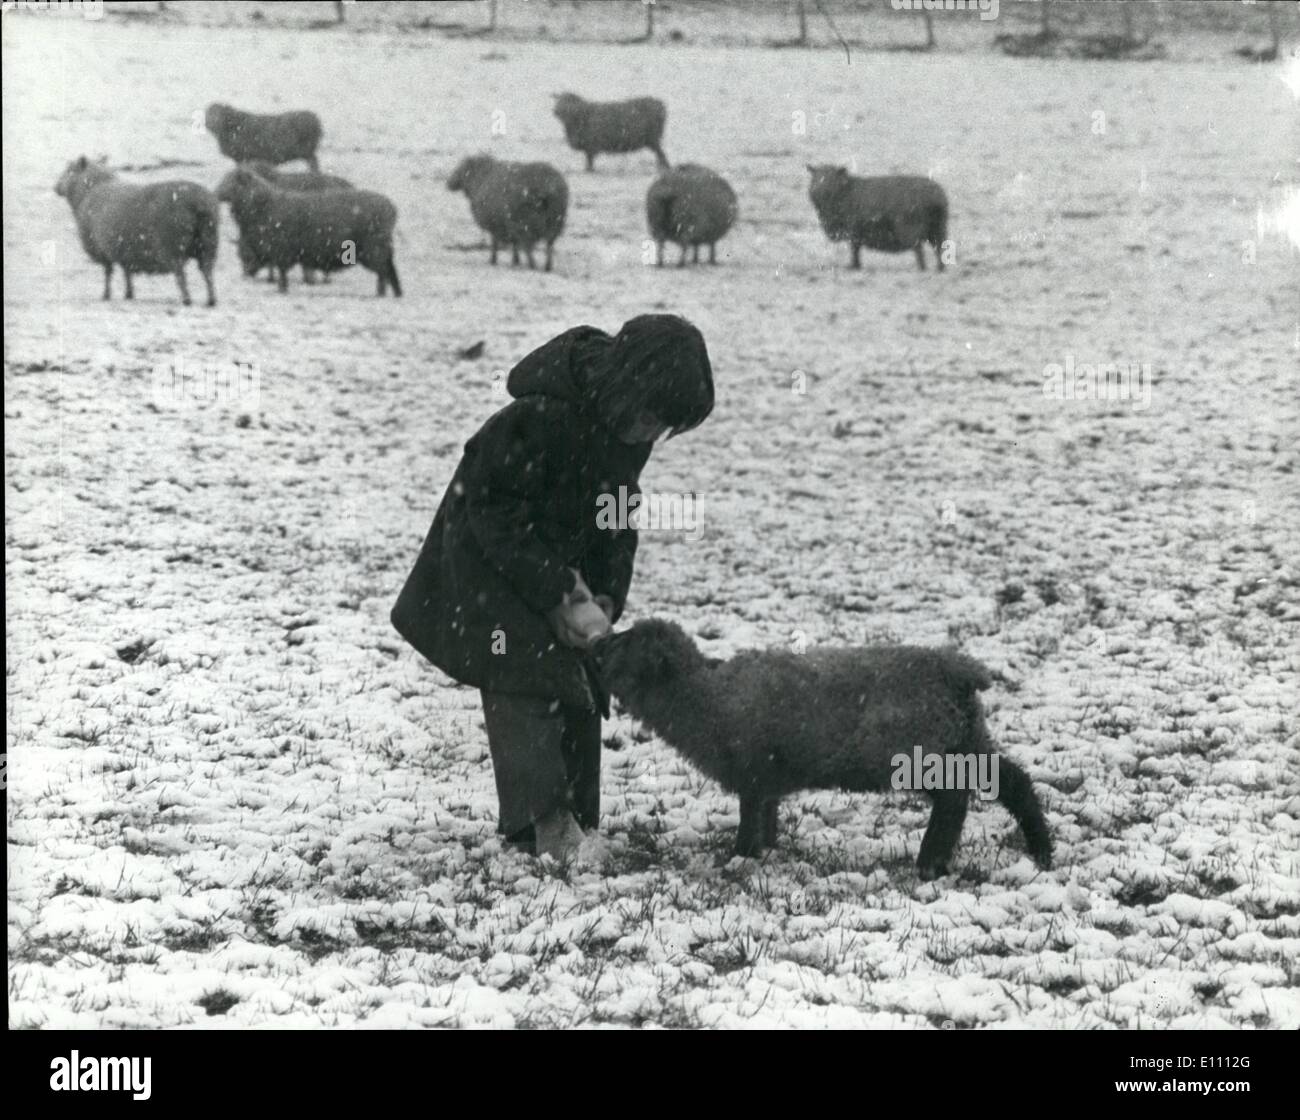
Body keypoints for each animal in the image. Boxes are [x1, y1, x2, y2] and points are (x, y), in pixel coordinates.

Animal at [55, 153, 218, 305]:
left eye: (70, 170)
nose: (55, 187)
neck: (90, 189)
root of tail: (199, 204)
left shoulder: (102, 250)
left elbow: (108, 273)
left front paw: (106, 295)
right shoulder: (125, 249)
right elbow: (127, 272)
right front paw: (129, 294)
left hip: (174, 246)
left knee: (180, 273)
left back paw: (187, 300)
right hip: (208, 243)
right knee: (207, 271)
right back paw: (211, 300)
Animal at [214, 166, 400, 296]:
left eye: (230, 181)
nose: (215, 193)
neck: (264, 204)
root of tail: (391, 207)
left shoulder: (280, 249)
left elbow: (281, 271)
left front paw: (281, 289)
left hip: (374, 249)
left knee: (383, 272)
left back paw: (379, 294)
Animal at [595, 618, 1050, 883]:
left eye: (626, 643)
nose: (595, 644)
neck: (704, 697)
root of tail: (959, 671)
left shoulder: (752, 769)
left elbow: (749, 818)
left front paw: (738, 860)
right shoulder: (766, 778)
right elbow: (766, 815)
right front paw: (765, 851)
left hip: (924, 753)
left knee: (954, 801)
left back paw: (929, 863)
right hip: (966, 739)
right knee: (1015, 784)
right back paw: (1042, 850)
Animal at [806, 164, 951, 271]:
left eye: (831, 178)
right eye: (814, 177)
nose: (816, 190)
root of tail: (936, 196)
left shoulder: (853, 231)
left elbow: (854, 250)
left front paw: (853, 267)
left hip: (912, 229)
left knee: (919, 250)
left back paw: (921, 269)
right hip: (938, 228)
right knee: (940, 249)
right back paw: (939, 269)